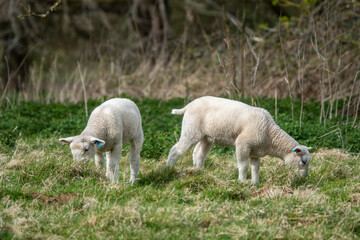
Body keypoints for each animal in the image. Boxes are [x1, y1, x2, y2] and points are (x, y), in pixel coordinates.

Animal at [167, 95, 310, 184]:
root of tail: (189, 105)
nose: (305, 177)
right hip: (191, 130)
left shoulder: (255, 151)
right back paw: (168, 168)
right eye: (303, 161)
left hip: (207, 137)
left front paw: (255, 183)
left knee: (199, 153)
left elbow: (255, 167)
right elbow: (244, 165)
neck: (270, 134)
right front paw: (241, 181)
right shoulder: (243, 143)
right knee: (176, 150)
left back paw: (199, 172)